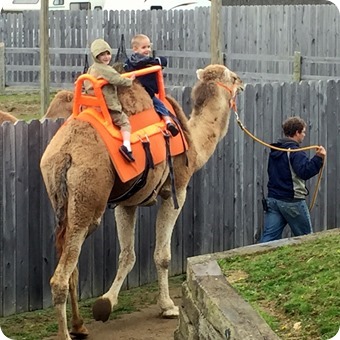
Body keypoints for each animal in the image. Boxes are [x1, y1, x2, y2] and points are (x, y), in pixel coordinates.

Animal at [40, 63, 244, 338]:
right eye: (232, 77)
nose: (242, 82)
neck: (193, 142)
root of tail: (65, 155)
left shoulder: (126, 203)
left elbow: (127, 255)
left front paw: (105, 304)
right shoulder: (176, 190)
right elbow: (162, 255)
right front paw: (168, 306)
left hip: (61, 203)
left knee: (71, 267)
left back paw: (80, 325)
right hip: (88, 200)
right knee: (59, 277)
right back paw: (67, 332)